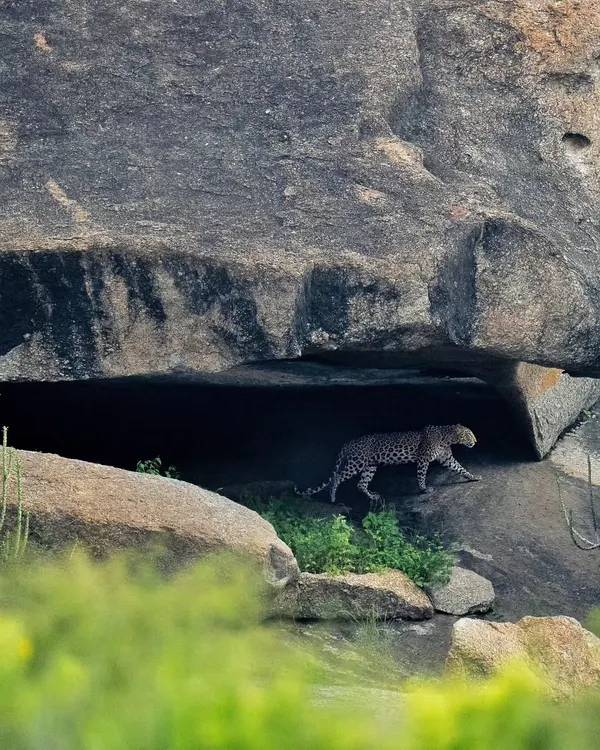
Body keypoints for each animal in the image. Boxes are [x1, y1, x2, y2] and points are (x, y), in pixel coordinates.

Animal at [296, 424, 480, 507]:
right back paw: (332, 497)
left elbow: (460, 468)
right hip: (356, 462)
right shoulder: (423, 459)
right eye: (469, 434)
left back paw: (372, 496)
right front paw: (423, 489)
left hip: (370, 466)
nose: (476, 441)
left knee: (360, 484)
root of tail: (348, 443)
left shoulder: (447, 459)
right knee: (337, 477)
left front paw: (473, 477)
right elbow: (421, 475)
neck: (447, 438)